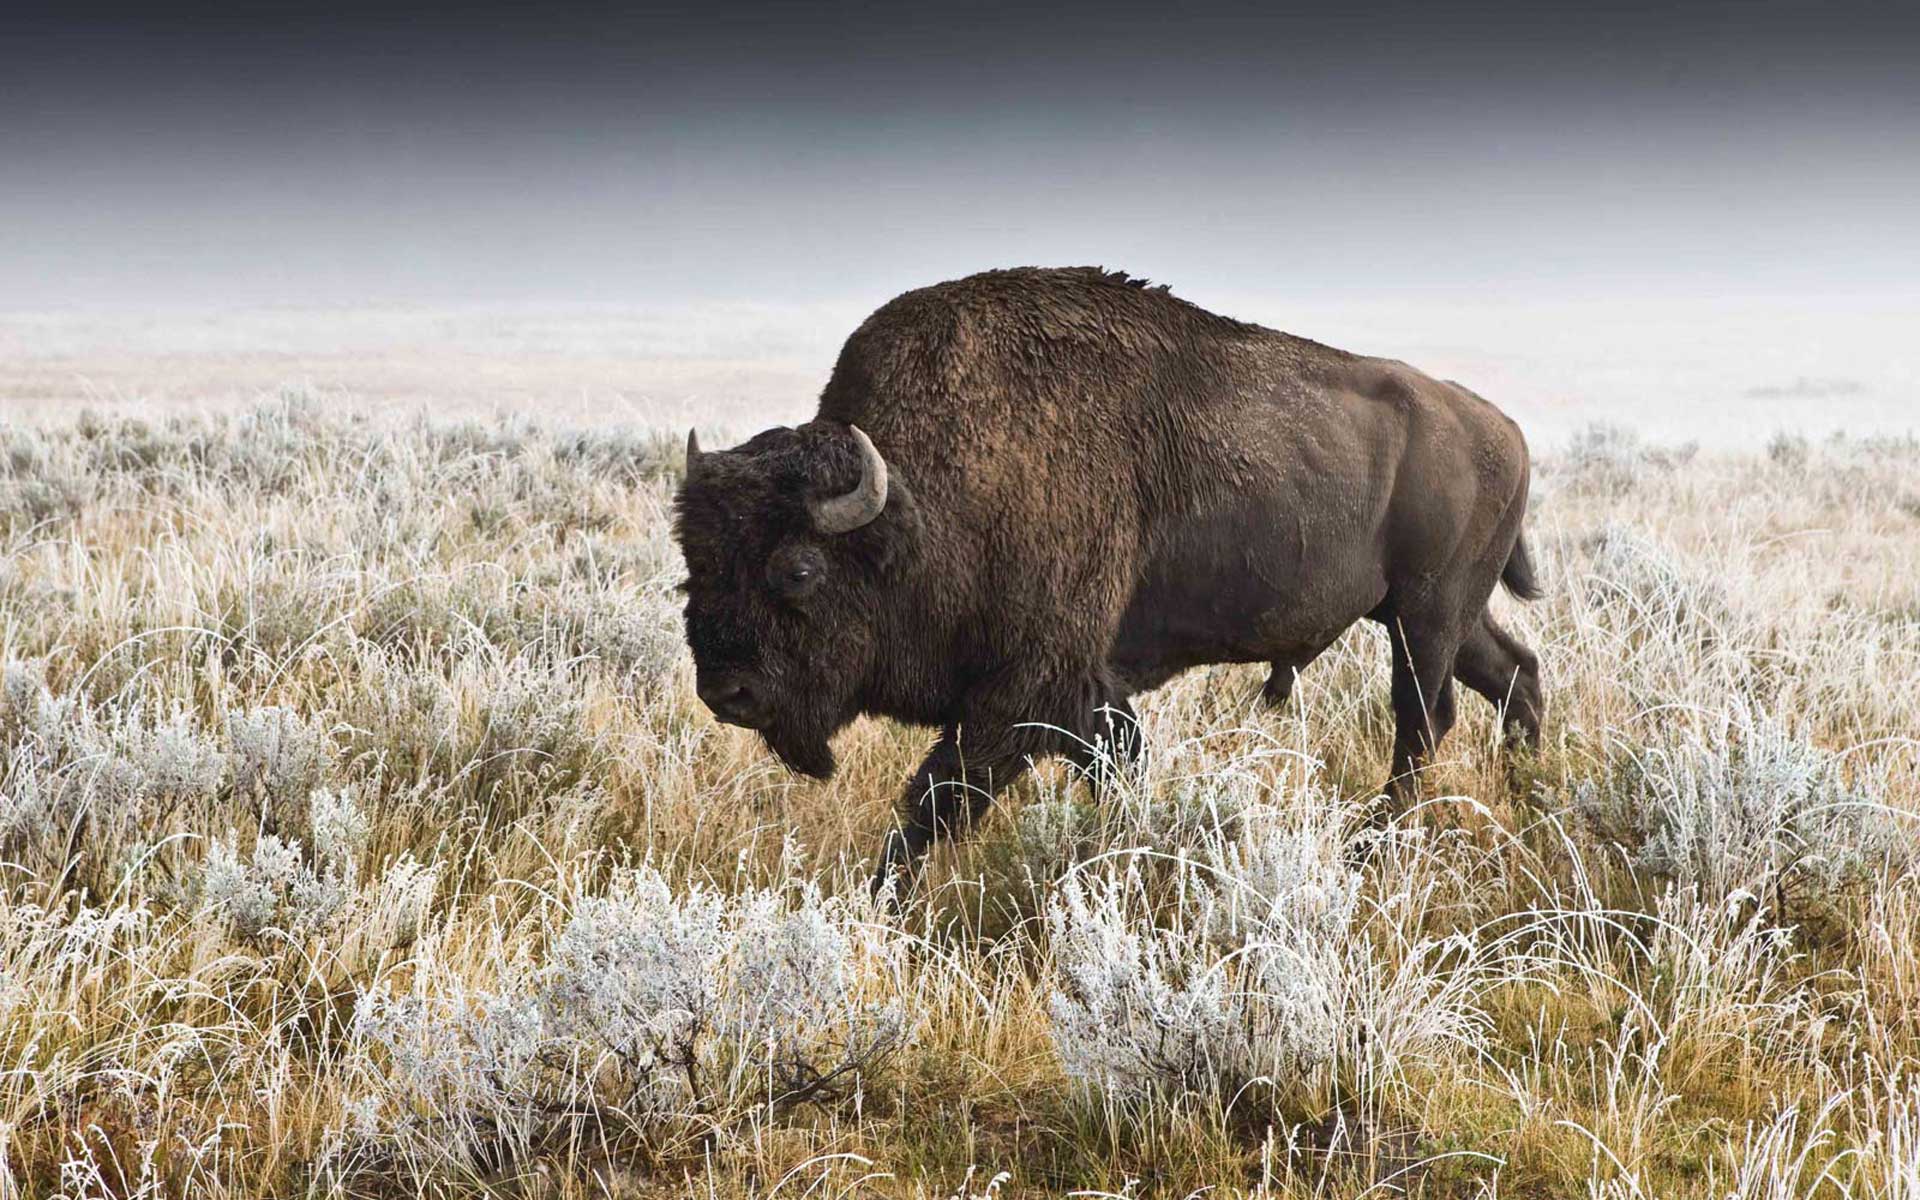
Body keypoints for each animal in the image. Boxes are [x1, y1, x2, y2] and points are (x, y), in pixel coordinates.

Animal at [674, 267, 1542, 891]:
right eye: (692, 566)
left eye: (798, 568)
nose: (727, 692)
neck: (924, 503)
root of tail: (1502, 427)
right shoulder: (1077, 697)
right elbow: (1097, 772)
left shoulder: (1024, 697)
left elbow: (936, 801)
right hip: (1431, 614)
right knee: (1515, 675)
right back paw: (1529, 795)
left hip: (1426, 614)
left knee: (1424, 720)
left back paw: (1372, 847)